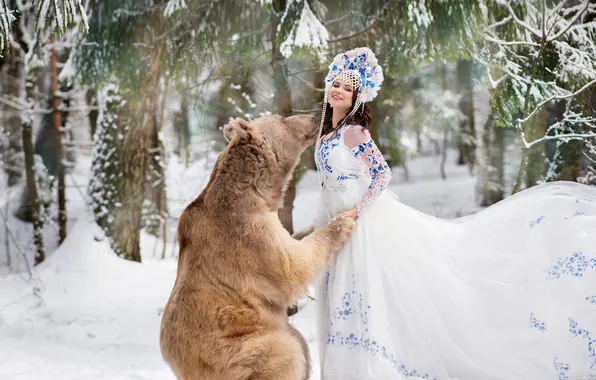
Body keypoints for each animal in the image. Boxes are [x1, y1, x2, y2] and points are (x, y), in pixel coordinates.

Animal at [159, 114, 354, 378]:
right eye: (282, 119)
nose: (312, 117)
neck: (254, 192)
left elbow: (293, 240)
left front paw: (314, 224)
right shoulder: (248, 234)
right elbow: (291, 268)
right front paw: (341, 224)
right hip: (237, 349)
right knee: (287, 350)